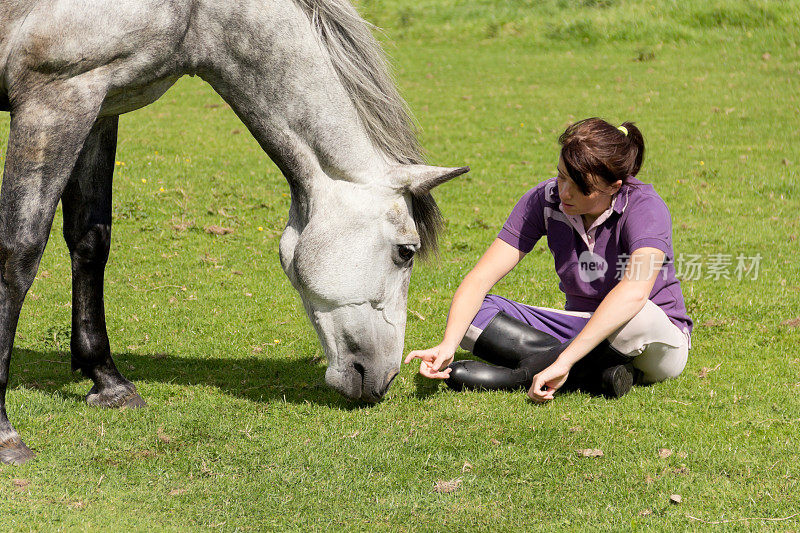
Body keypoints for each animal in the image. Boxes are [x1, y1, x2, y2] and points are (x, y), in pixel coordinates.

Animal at [0, 0, 468, 462]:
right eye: (406, 251)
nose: (385, 378)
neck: (195, 13)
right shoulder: (57, 98)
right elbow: (18, 253)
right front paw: (6, 433)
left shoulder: (101, 106)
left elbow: (90, 241)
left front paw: (108, 382)